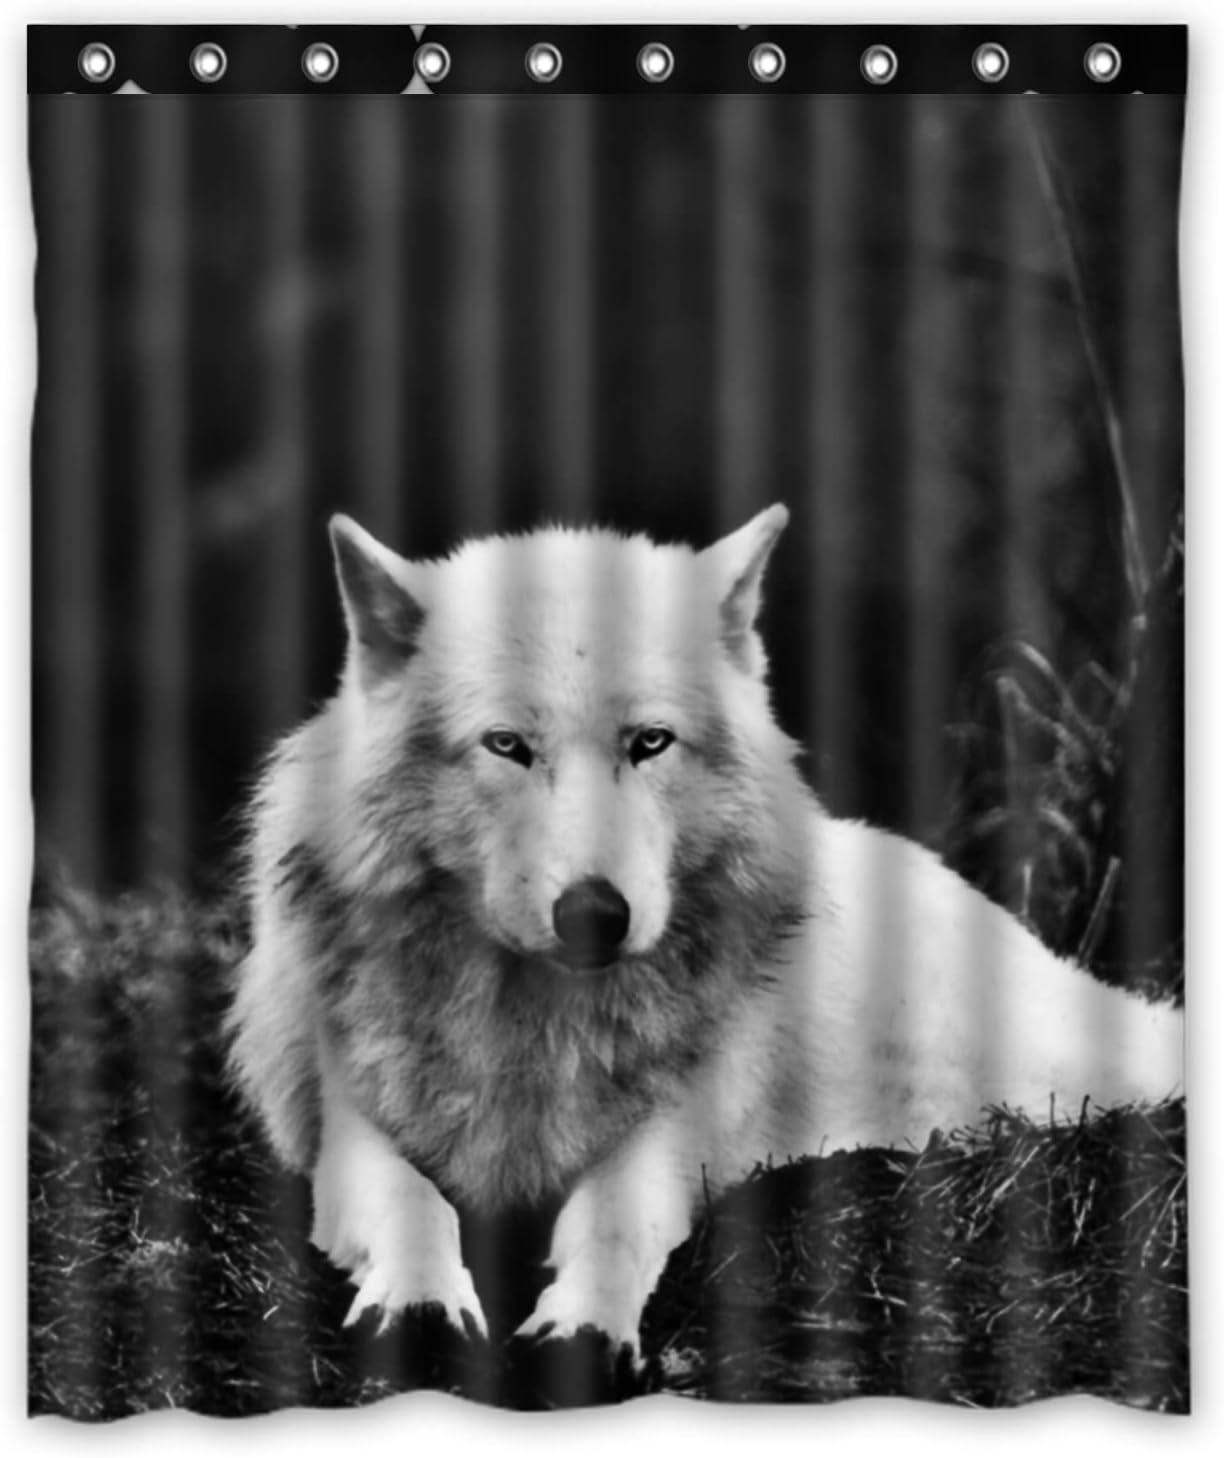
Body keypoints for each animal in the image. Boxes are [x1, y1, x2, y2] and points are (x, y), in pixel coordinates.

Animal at [227, 505, 1183, 1365]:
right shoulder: (354, 1130)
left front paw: (582, 1327)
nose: (595, 913)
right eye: (506, 746)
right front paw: (421, 1304)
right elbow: (413, 1206)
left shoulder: (664, 1138)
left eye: (651, 742)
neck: (540, 1028)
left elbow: (610, 1224)